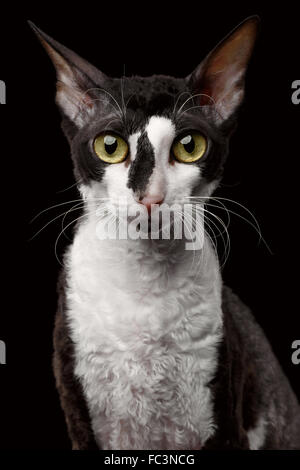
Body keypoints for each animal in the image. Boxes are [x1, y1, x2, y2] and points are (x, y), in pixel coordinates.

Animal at [29, 16, 300, 450]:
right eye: (110, 146)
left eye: (190, 146)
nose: (151, 196)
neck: (144, 285)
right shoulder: (82, 421)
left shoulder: (225, 422)